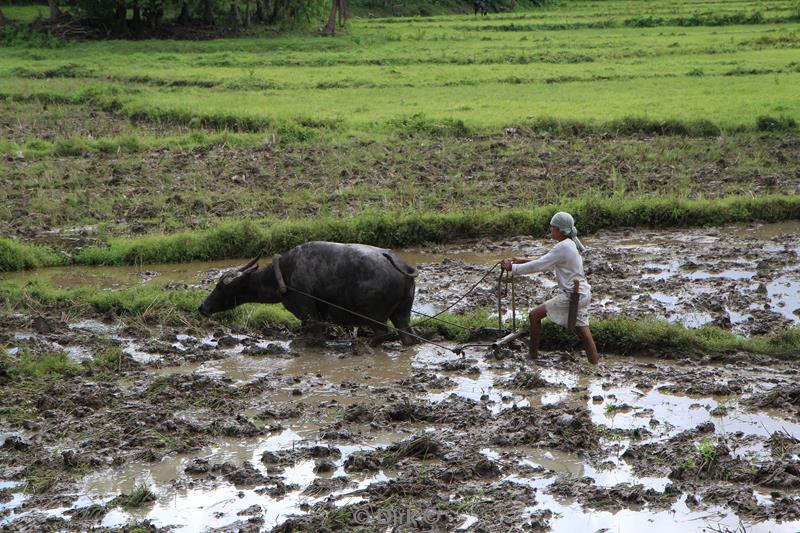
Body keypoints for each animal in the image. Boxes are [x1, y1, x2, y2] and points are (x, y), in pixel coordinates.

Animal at [200, 241, 418, 344]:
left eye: (221, 287)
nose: (203, 307)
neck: (283, 274)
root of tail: (404, 267)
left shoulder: (307, 313)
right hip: (402, 312)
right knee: (407, 335)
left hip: (374, 316)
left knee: (384, 334)